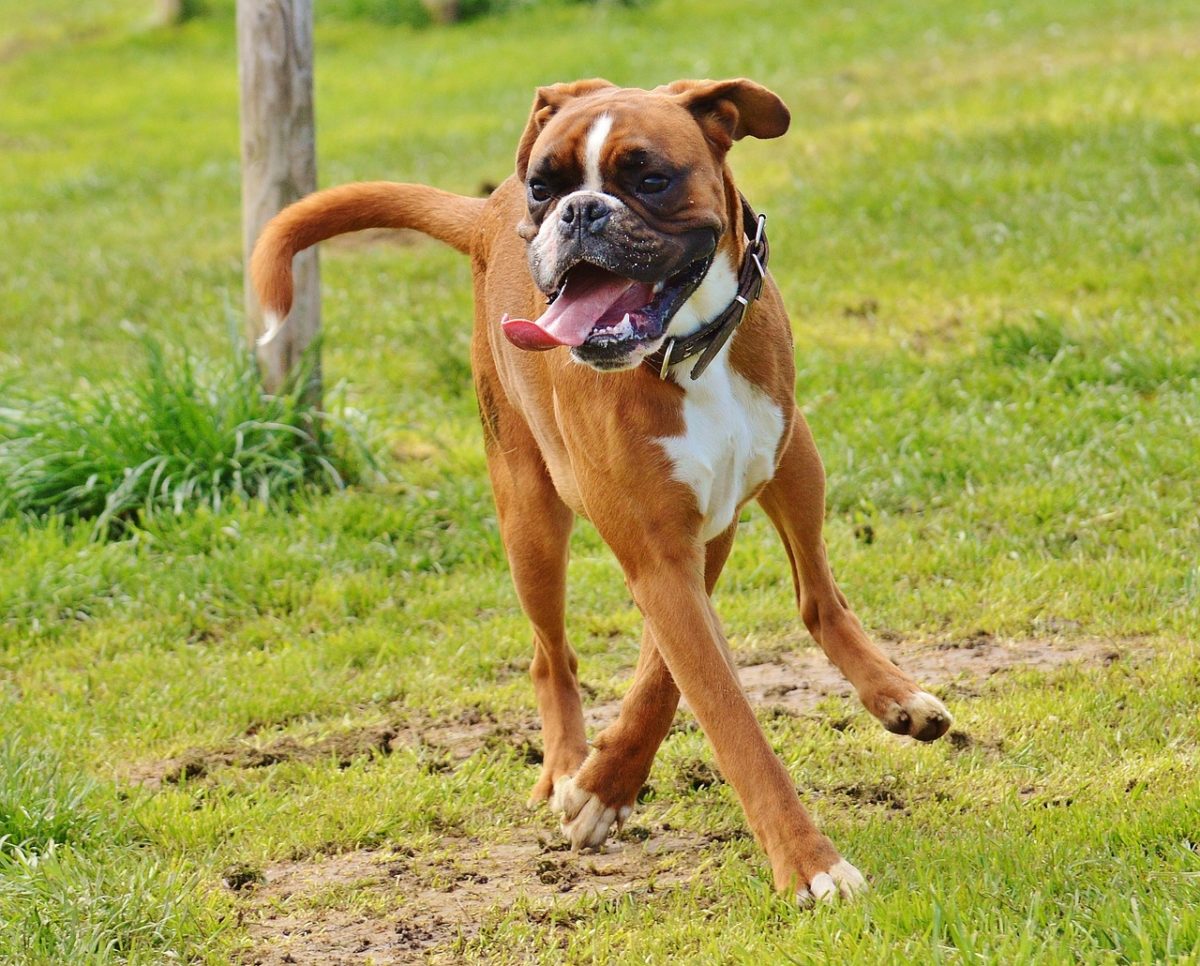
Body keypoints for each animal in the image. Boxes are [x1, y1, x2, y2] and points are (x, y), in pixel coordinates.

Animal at [248, 77, 950, 902]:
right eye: (546, 185)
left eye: (650, 178)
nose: (578, 212)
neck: (685, 351)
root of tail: (487, 215)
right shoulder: (663, 556)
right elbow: (726, 716)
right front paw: (808, 865)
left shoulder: (706, 529)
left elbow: (667, 677)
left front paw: (611, 783)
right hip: (529, 522)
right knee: (549, 657)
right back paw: (562, 769)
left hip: (796, 459)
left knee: (819, 595)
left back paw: (894, 695)